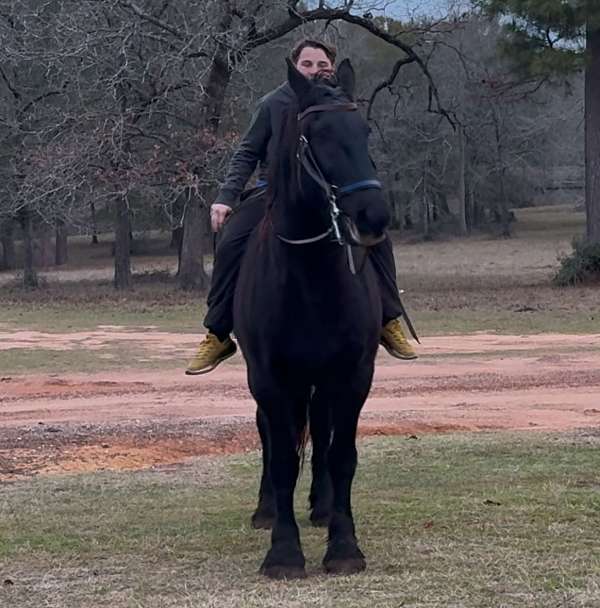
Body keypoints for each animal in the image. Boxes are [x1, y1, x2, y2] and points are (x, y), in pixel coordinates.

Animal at [232, 59, 392, 576]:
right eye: (318, 135)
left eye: (363, 131)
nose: (373, 214)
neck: (311, 280)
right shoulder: (269, 377)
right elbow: (281, 455)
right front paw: (283, 550)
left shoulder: (355, 374)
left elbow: (342, 454)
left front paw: (344, 545)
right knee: (269, 433)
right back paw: (266, 509)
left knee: (321, 432)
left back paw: (321, 506)